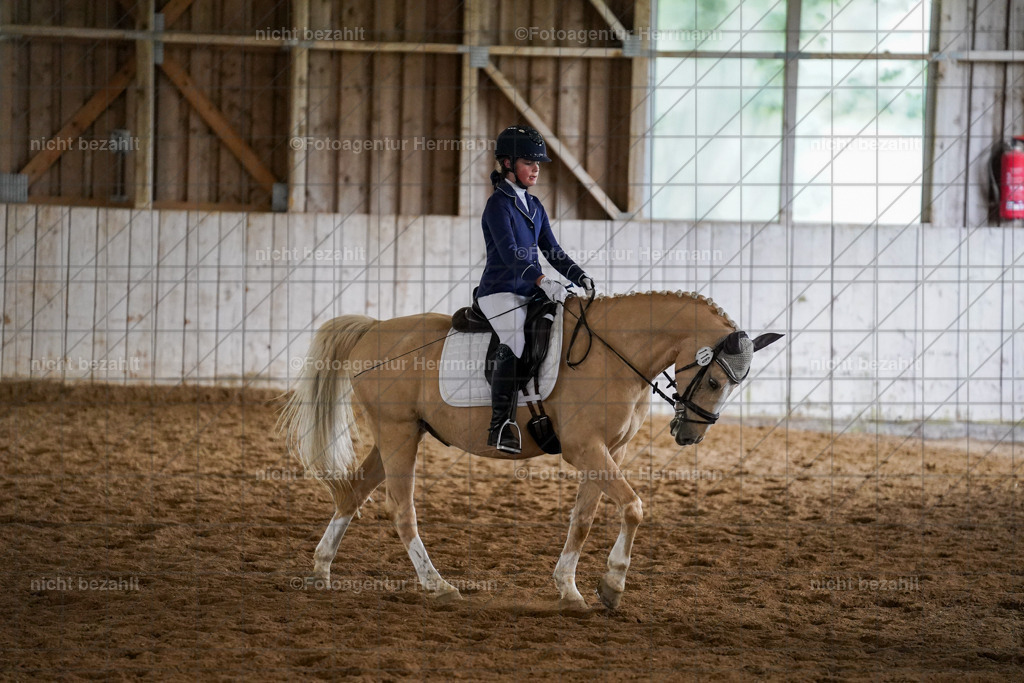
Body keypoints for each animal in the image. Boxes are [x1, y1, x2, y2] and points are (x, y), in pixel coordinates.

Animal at [279, 289, 782, 609]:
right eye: (715, 381)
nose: (690, 435)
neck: (613, 354)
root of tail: (373, 329)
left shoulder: (607, 452)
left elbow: (583, 519)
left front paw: (570, 590)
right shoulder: (586, 449)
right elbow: (634, 506)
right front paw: (612, 585)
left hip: (400, 435)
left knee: (353, 492)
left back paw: (321, 572)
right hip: (397, 433)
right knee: (401, 510)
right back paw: (438, 587)